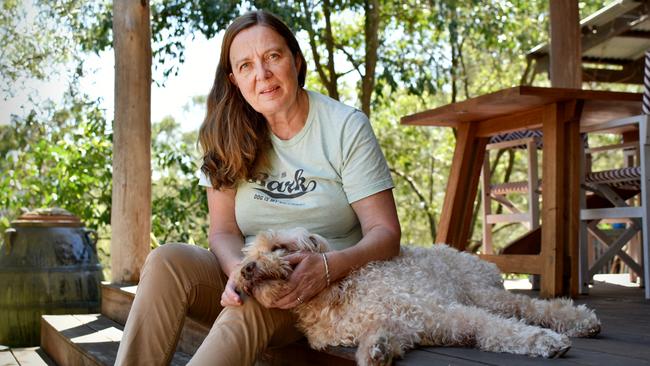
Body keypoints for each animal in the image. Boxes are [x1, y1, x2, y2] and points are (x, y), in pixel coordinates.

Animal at [230, 227, 600, 364]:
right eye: (251, 253)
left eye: (279, 247)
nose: (246, 269)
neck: (334, 295)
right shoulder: (401, 326)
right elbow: (380, 336)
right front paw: (376, 350)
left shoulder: (446, 313)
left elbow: (499, 330)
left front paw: (543, 341)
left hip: (484, 296)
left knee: (531, 306)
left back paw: (580, 322)